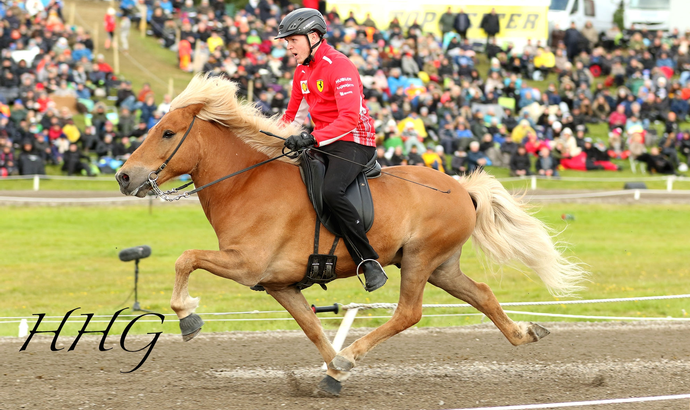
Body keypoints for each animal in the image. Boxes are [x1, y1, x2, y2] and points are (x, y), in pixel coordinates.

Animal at [115, 75, 584, 396]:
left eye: (168, 133)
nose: (123, 177)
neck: (246, 184)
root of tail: (460, 189)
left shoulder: (246, 265)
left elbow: (186, 258)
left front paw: (188, 316)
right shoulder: (279, 284)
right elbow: (311, 328)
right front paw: (334, 371)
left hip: (419, 260)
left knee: (408, 313)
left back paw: (357, 349)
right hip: (440, 267)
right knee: (482, 294)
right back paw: (524, 332)